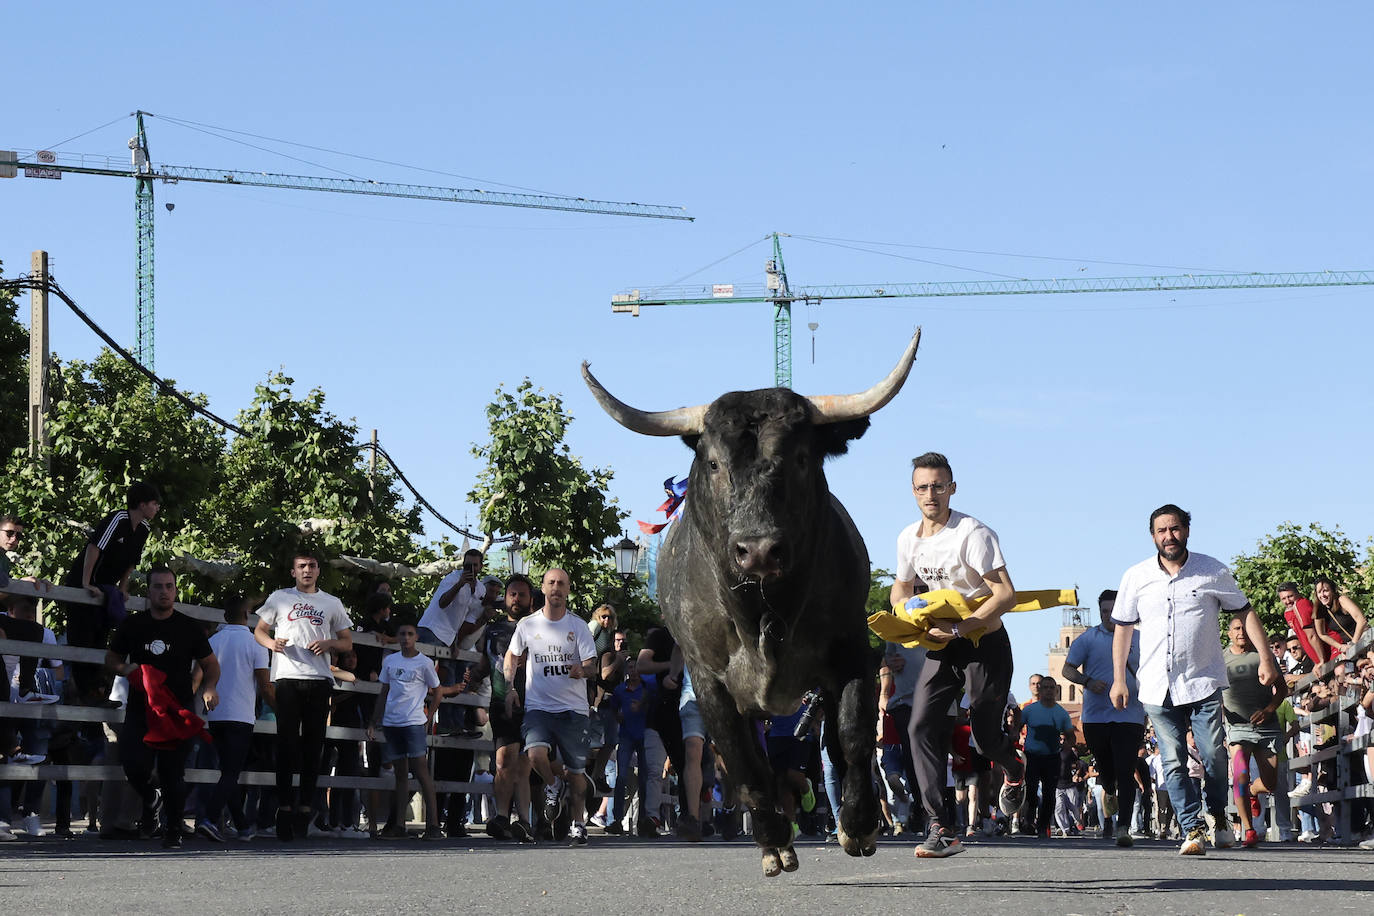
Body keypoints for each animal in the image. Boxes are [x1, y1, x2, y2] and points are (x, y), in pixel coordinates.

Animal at [582, 328, 923, 873]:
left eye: (801, 459)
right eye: (714, 463)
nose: (759, 549)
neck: (764, 613)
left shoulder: (852, 651)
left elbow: (852, 734)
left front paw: (859, 826)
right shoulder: (707, 679)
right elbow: (740, 759)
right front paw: (774, 841)